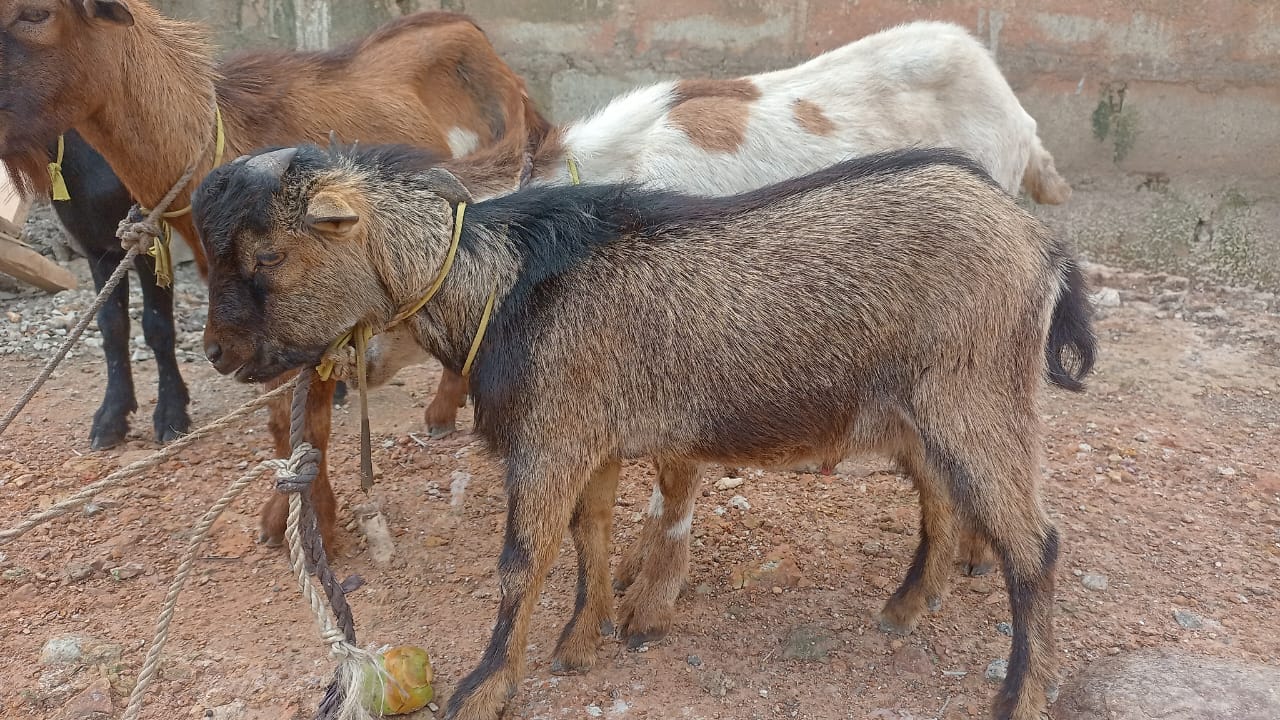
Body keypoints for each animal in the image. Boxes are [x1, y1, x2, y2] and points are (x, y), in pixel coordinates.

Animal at [192, 141, 1098, 720]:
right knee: (943, 500)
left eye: (267, 256)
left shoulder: (551, 438)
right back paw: (906, 607)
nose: (217, 353)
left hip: (975, 395)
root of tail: (1041, 242)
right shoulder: (593, 440)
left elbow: (522, 561)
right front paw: (581, 640)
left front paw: (487, 687)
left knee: (1035, 546)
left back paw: (1017, 696)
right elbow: (589, 536)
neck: (501, 284)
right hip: (921, 410)